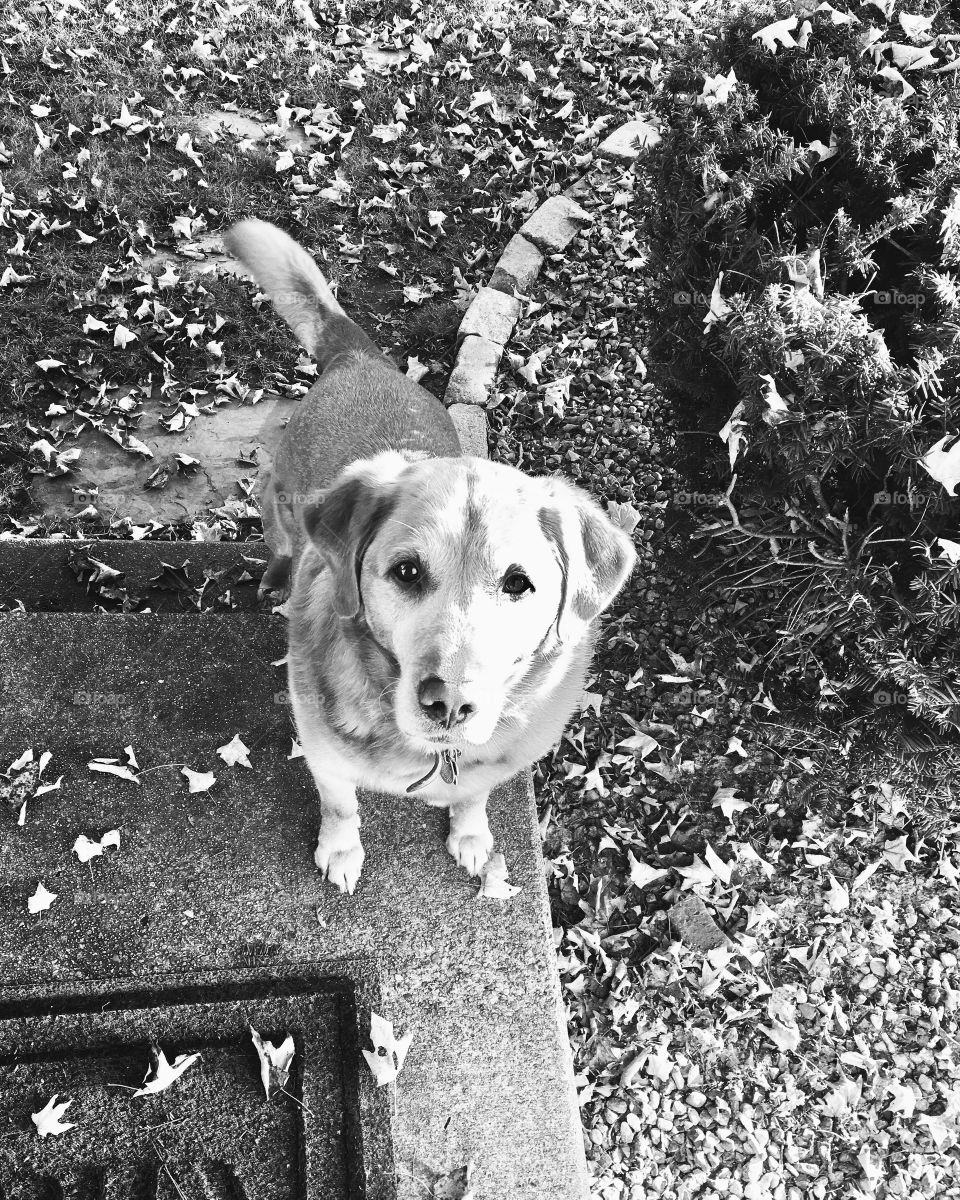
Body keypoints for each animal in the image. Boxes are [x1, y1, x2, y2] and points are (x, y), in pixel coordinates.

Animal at [220, 218, 633, 892]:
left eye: (519, 584)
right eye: (406, 572)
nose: (450, 703)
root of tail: (357, 356)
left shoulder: (490, 766)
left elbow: (473, 795)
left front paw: (471, 835)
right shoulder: (323, 756)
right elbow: (340, 805)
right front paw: (341, 850)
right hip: (278, 502)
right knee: (276, 530)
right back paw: (277, 574)